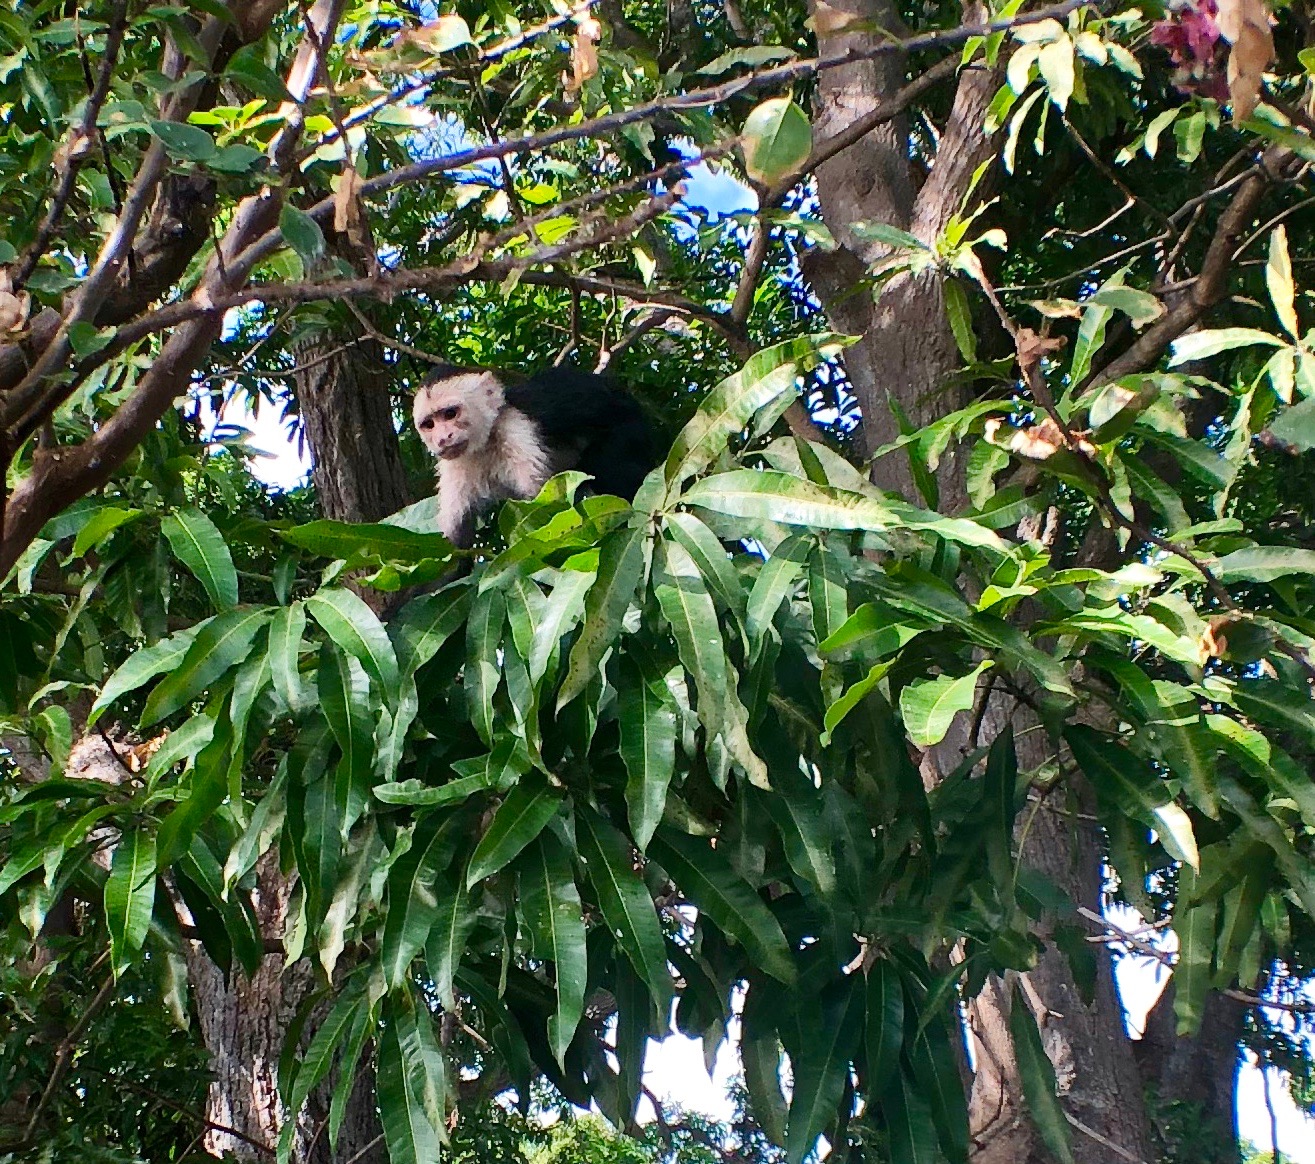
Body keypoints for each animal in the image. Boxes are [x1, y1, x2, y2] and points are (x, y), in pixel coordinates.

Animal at [410, 360, 657, 547]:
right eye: (429, 424)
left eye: (451, 413)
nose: (443, 438)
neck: (485, 440)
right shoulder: (456, 463)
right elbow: (453, 549)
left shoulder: (515, 429)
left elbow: (545, 509)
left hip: (629, 426)